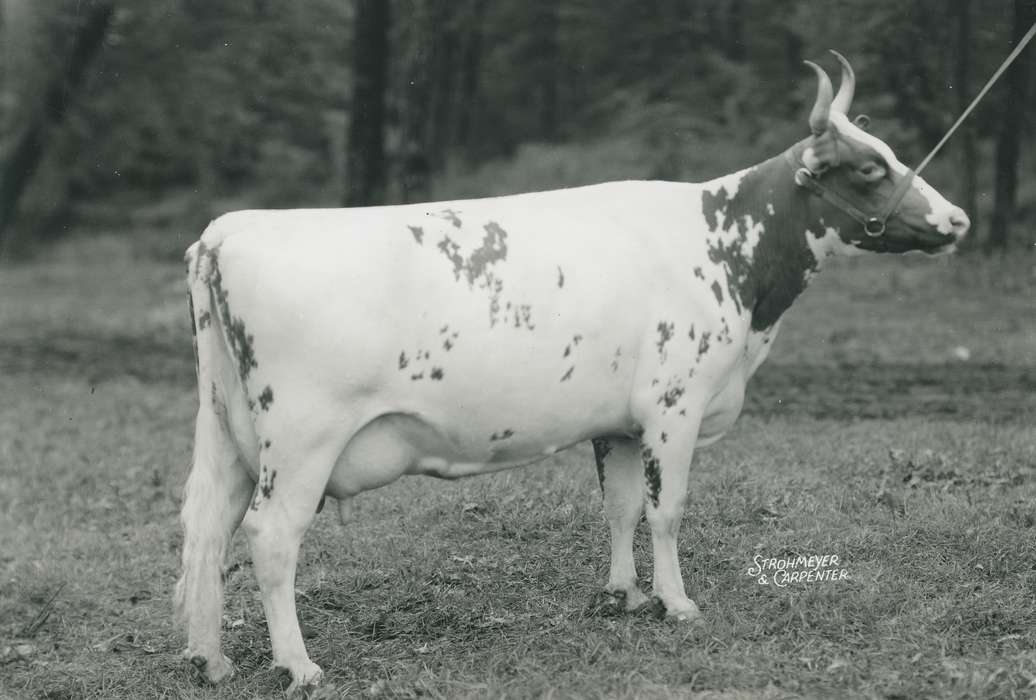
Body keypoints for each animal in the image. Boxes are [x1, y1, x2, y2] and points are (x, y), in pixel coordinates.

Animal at [175, 52, 969, 694]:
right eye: (871, 168)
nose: (958, 219)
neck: (725, 252)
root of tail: (229, 229)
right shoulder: (674, 405)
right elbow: (667, 510)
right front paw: (678, 603)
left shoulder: (618, 423)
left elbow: (620, 507)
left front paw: (624, 595)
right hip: (302, 437)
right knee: (269, 536)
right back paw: (299, 665)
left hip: (229, 434)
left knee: (208, 526)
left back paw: (211, 659)